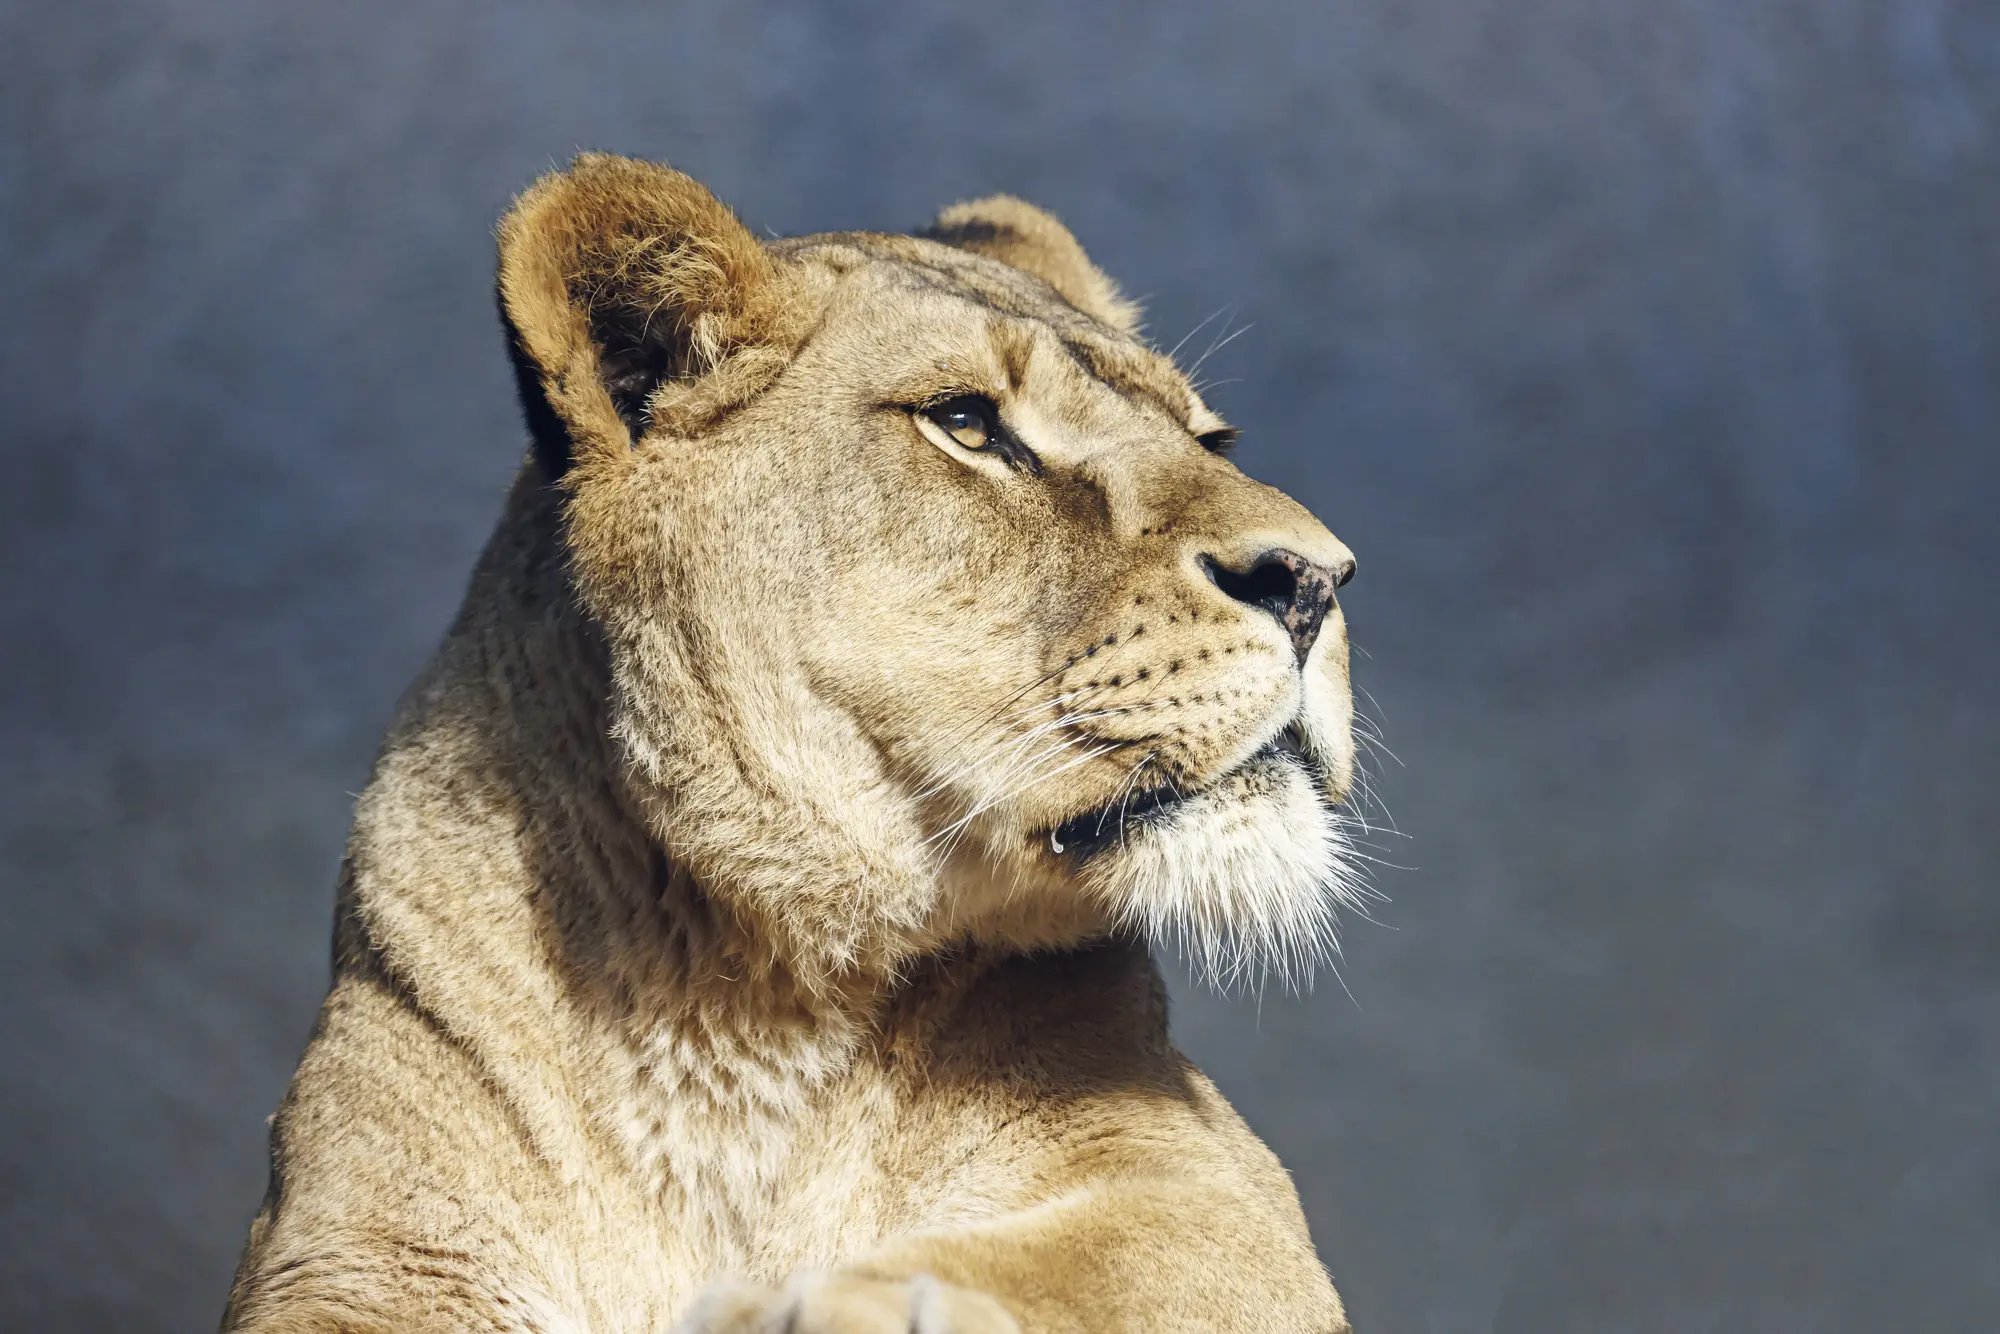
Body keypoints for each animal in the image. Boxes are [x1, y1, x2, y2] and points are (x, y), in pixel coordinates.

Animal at [222, 153, 1364, 1334]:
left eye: (1211, 440)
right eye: (966, 423)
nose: (1319, 577)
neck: (742, 1011)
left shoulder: (1217, 1193)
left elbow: (1075, 1264)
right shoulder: (355, 1249)